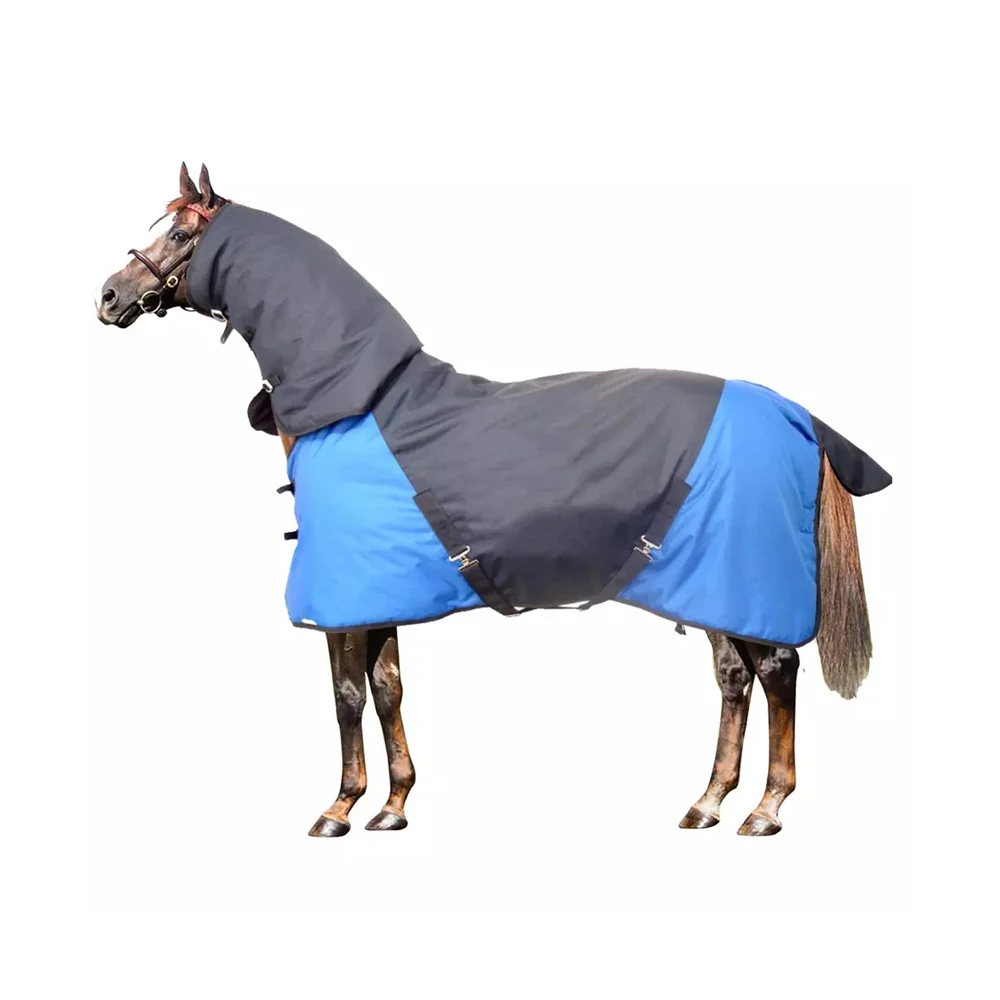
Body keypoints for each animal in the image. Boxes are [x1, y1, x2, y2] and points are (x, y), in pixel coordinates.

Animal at [96, 163, 888, 838]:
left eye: (180, 233)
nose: (108, 295)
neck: (358, 403)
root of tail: (797, 414)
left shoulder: (345, 599)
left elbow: (347, 693)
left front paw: (339, 808)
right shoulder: (383, 596)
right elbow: (388, 687)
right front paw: (393, 806)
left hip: (741, 577)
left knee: (777, 672)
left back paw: (767, 808)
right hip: (707, 582)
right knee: (734, 679)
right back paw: (708, 802)